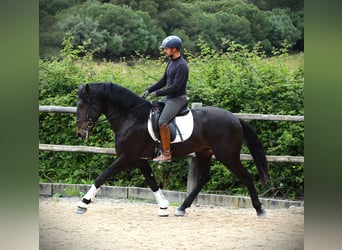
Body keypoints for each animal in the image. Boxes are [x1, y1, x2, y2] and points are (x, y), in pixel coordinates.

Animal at [76, 82, 268, 217]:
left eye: (84, 105)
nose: (80, 133)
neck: (131, 118)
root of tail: (236, 119)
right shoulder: (139, 160)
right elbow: (152, 182)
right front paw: (163, 207)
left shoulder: (127, 157)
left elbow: (101, 177)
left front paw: (82, 203)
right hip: (204, 152)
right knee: (204, 178)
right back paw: (181, 208)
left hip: (227, 156)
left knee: (247, 177)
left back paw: (260, 210)